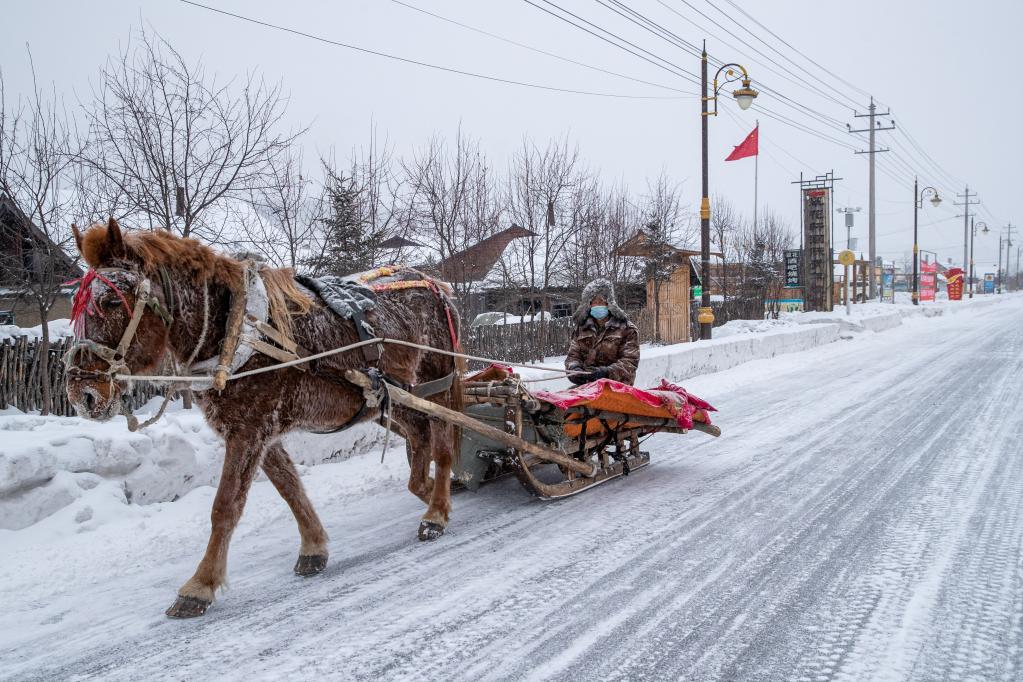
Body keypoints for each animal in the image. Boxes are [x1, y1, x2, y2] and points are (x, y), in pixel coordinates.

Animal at [64, 218, 464, 617]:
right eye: (75, 303)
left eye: (111, 300)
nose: (82, 394)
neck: (236, 329)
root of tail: (434, 283)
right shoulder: (257, 431)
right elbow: (290, 489)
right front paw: (314, 547)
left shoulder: (250, 429)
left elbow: (225, 507)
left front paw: (200, 585)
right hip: (390, 396)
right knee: (419, 434)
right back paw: (432, 489)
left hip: (437, 378)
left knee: (443, 442)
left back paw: (436, 511)